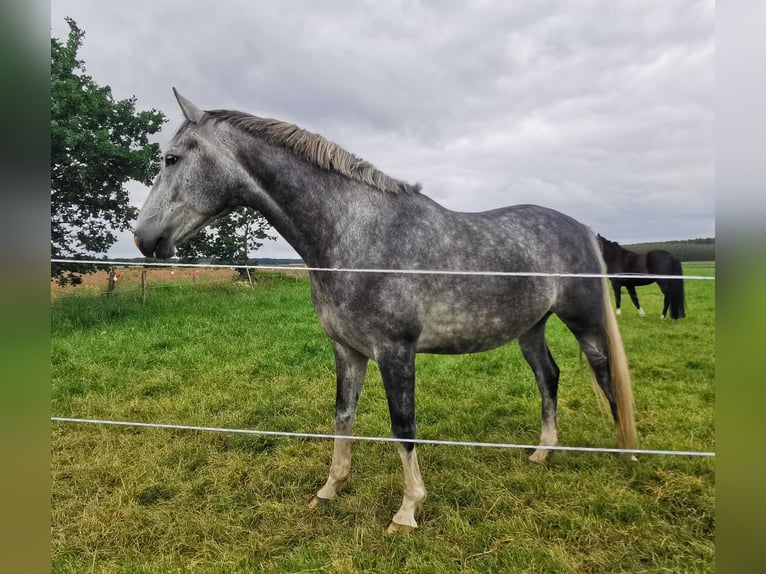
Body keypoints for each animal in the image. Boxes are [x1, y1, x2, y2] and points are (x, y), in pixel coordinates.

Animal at [135, 90, 640, 536]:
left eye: (171, 159)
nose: (144, 239)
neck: (355, 235)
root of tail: (582, 228)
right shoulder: (348, 350)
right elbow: (343, 416)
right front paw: (330, 489)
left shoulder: (395, 352)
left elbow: (404, 427)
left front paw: (407, 511)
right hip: (530, 328)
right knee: (547, 376)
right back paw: (542, 453)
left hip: (584, 322)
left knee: (605, 374)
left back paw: (627, 456)